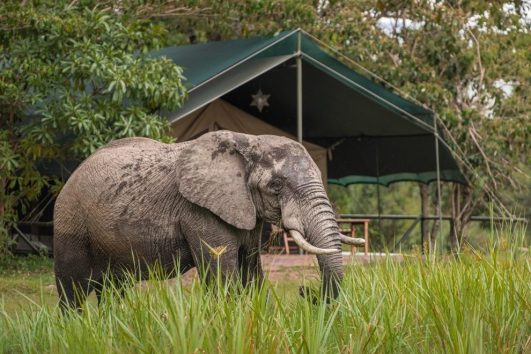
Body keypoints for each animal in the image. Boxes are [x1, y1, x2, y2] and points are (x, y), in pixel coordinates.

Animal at [54, 129, 366, 306]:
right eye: (276, 186)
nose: (305, 291)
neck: (248, 141)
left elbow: (251, 272)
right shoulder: (199, 211)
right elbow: (222, 276)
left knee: (113, 289)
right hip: (70, 220)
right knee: (72, 289)